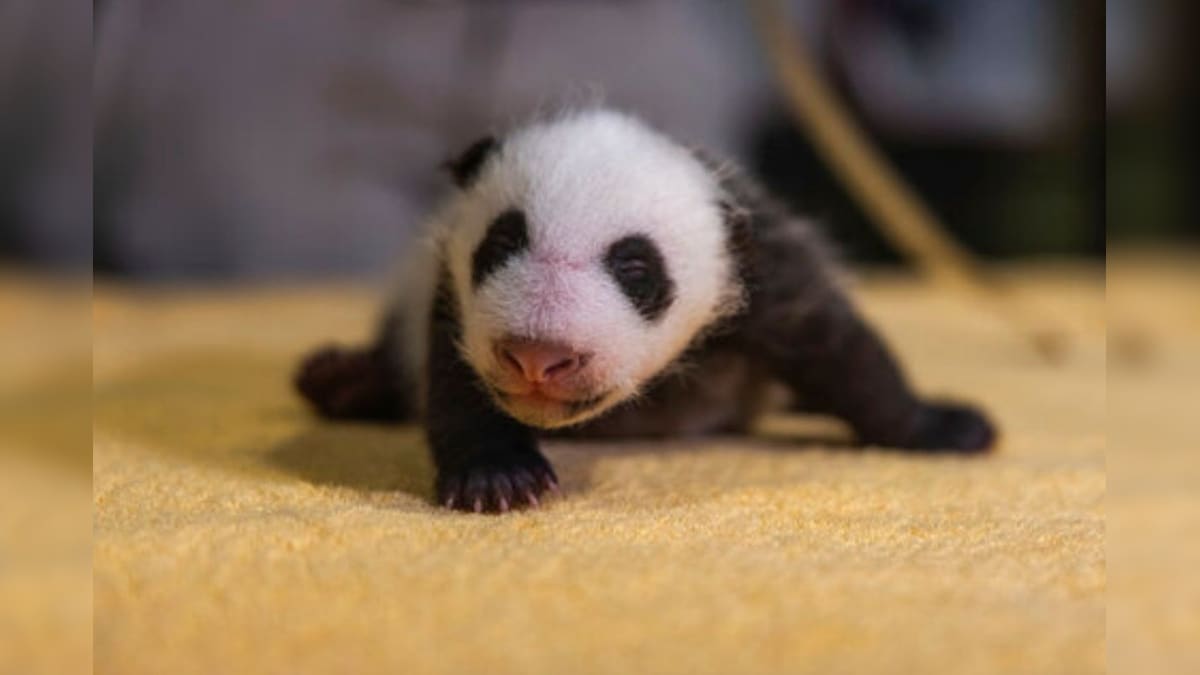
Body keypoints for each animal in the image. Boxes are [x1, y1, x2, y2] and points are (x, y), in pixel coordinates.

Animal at [297, 109, 993, 509]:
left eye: (635, 269)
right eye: (501, 242)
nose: (537, 359)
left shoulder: (760, 264)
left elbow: (840, 349)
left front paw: (943, 426)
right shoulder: (450, 287)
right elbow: (455, 373)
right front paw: (496, 476)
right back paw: (343, 380)